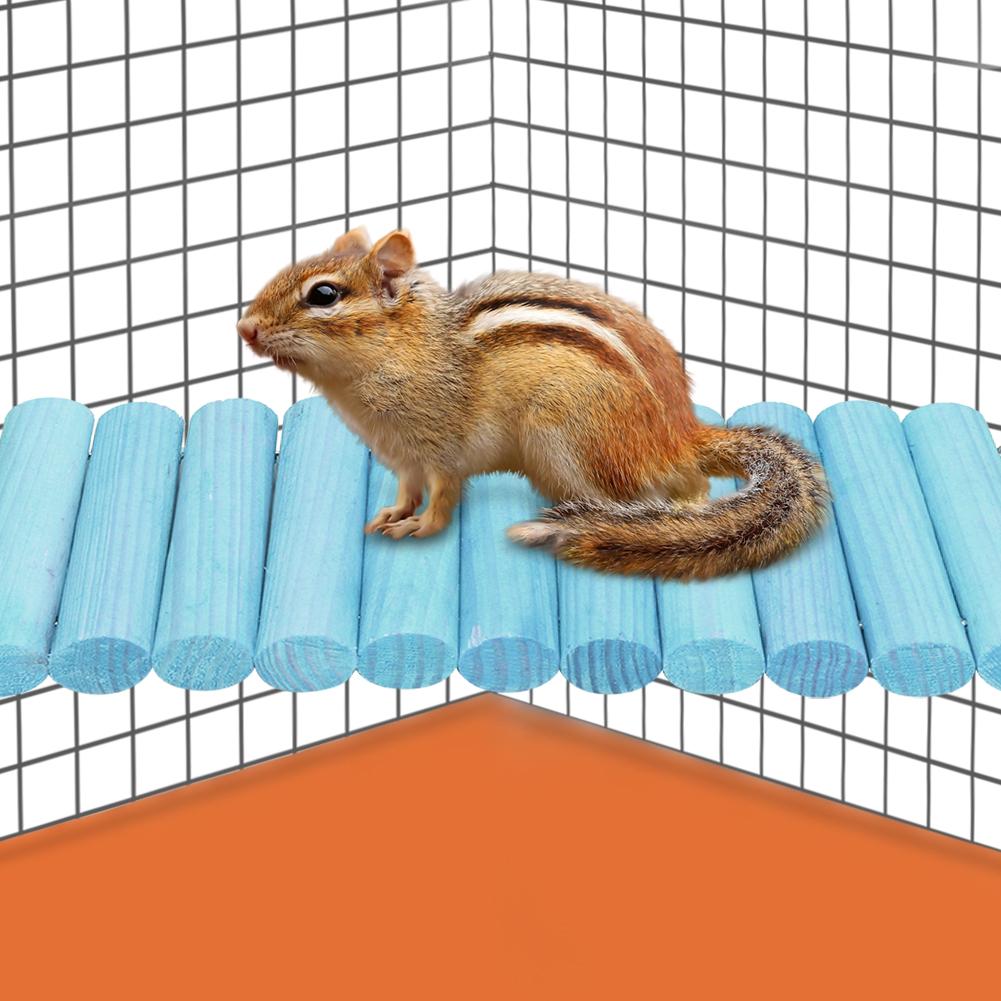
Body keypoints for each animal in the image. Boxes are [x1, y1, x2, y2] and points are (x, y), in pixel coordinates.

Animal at [237, 227, 830, 580]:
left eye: (324, 294)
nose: (245, 328)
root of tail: (680, 436)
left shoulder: (443, 452)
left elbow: (442, 500)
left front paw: (419, 529)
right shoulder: (403, 458)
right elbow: (406, 491)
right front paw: (391, 514)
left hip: (567, 444)